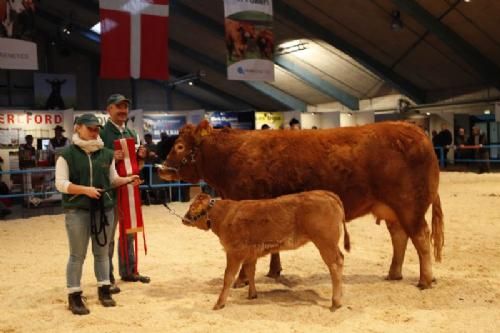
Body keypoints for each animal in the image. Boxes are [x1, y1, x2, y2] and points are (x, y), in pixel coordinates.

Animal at [158, 119, 444, 288]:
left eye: (180, 146)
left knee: (420, 237)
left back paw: (424, 280)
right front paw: (274, 271)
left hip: (409, 205)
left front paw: (241, 280)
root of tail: (414, 129)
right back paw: (394, 273)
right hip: (392, 208)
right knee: (400, 237)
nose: (161, 168)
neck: (230, 157)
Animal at [184, 191, 352, 310]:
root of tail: (325, 193)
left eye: (192, 207)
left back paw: (336, 302)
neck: (225, 214)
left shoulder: (233, 252)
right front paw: (252, 294)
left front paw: (219, 303)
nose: (184, 219)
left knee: (335, 264)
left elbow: (228, 277)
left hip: (325, 243)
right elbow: (250, 272)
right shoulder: (250, 254)